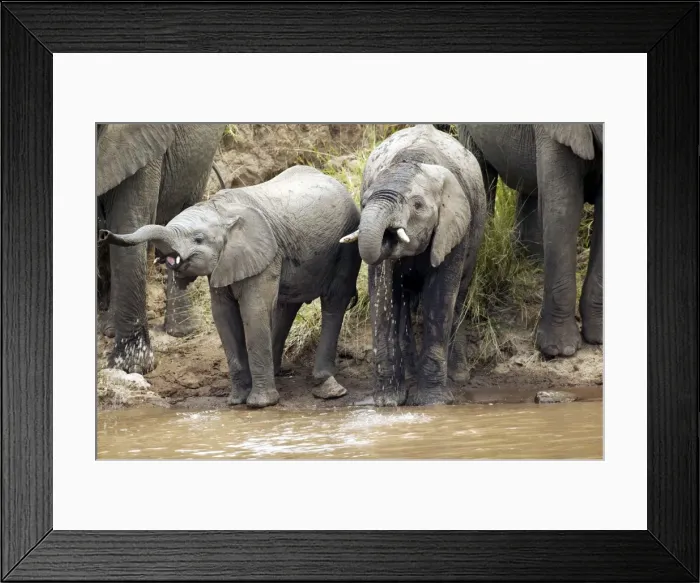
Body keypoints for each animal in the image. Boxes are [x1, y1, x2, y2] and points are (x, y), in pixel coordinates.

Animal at [100, 165, 362, 409]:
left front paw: (260, 404)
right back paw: (278, 372)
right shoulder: (226, 264)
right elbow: (223, 316)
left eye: (198, 239)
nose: (103, 233)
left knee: (334, 300)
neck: (220, 210)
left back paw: (327, 386)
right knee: (288, 306)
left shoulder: (263, 255)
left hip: (346, 244)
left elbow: (253, 311)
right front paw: (236, 401)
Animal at [340, 124, 488, 406]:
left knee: (459, 296)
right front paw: (387, 402)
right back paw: (409, 372)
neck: (415, 159)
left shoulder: (454, 228)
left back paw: (459, 375)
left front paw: (432, 402)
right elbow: (382, 292)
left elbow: (440, 297)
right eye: (364, 202)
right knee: (403, 301)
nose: (389, 235)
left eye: (418, 206)